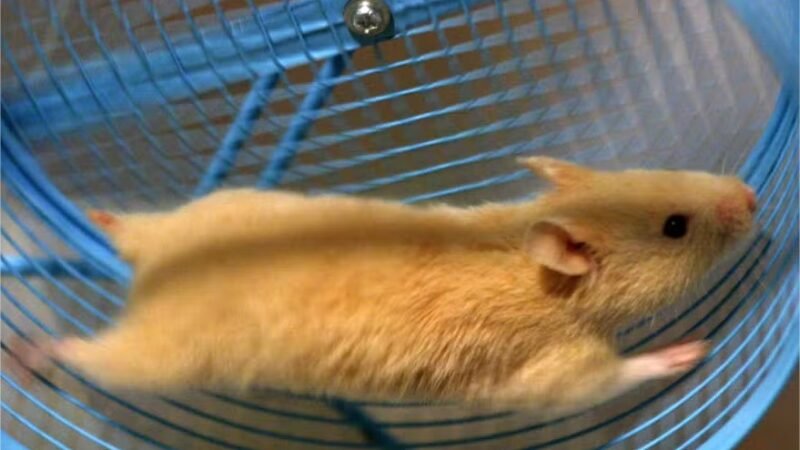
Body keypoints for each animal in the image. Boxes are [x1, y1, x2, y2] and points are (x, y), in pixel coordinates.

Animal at [9, 157, 757, 414]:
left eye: (655, 172)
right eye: (674, 227)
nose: (752, 196)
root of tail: (148, 274)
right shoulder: (554, 366)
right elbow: (610, 376)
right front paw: (688, 351)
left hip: (206, 210)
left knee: (131, 225)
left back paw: (95, 214)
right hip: (162, 357)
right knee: (90, 354)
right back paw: (30, 353)